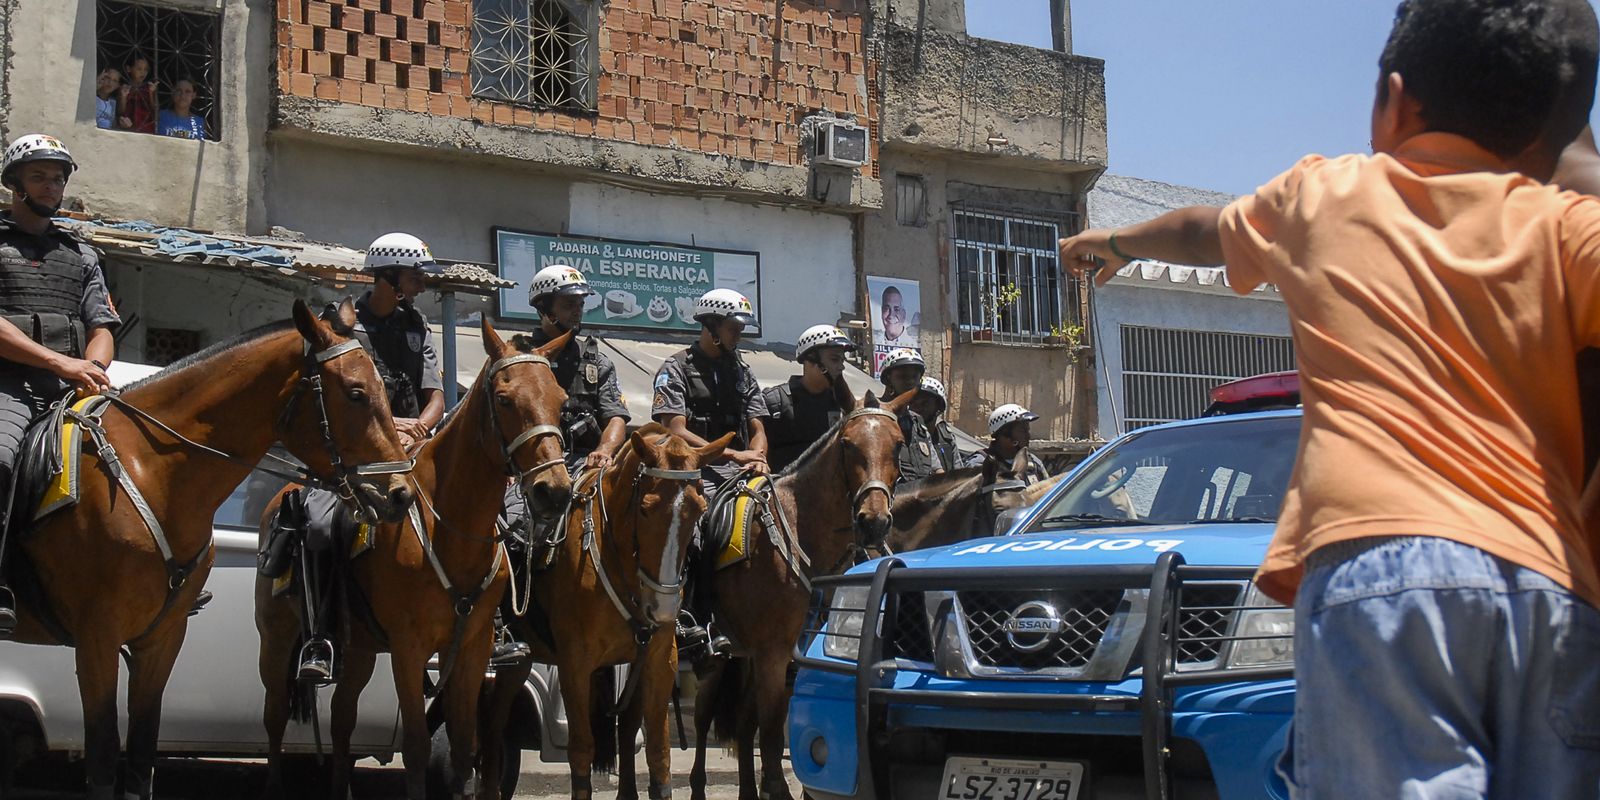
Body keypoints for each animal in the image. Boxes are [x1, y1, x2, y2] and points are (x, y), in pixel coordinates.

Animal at [4, 300, 412, 800]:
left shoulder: (163, 637)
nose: (400, 494)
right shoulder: (96, 635)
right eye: (355, 393)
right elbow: (102, 757)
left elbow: (141, 751)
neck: (152, 471)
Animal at [252, 321, 572, 800]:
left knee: (343, 720)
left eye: (560, 400)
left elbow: (464, 745)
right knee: (273, 717)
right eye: (504, 398)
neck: (451, 531)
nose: (554, 491)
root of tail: (280, 497)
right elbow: (418, 746)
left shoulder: (473, 649)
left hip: (360, 648)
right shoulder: (409, 650)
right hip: (276, 637)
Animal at [470, 425, 729, 800]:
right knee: (490, 726)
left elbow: (657, 752)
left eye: (698, 510)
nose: (663, 608)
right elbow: (582, 751)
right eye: (646, 509)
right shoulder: (575, 665)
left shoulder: (658, 659)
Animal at [688, 392, 915, 800]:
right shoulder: (774, 654)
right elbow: (772, 736)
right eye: (848, 444)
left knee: (742, 724)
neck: (796, 529)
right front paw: (776, 787)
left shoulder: (789, 653)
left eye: (897, 444)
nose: (874, 521)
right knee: (698, 718)